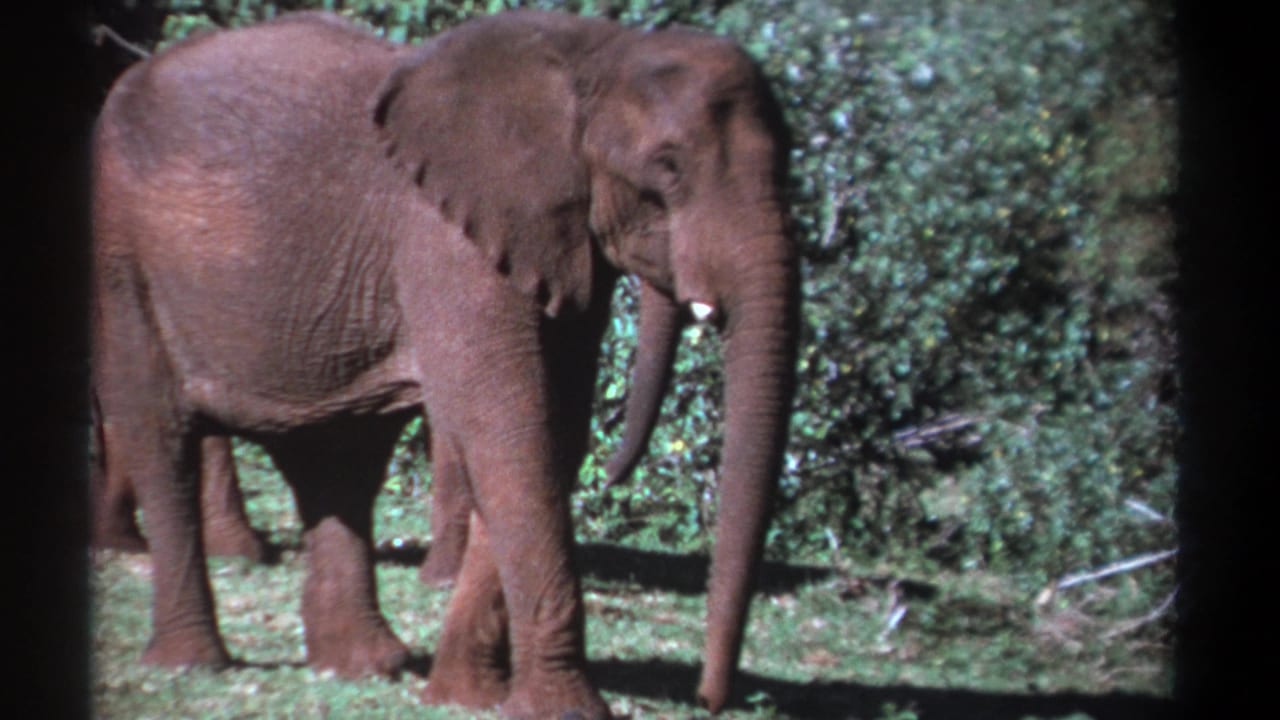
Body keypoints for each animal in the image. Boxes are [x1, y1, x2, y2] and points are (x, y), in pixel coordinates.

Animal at [91, 9, 796, 718]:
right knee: (162, 438)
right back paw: (193, 662)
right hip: (124, 263)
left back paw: (363, 666)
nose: (710, 698)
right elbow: (509, 431)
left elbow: (551, 436)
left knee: (337, 462)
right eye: (667, 168)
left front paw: (465, 694)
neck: (596, 54)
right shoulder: (446, 239)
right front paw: (559, 709)